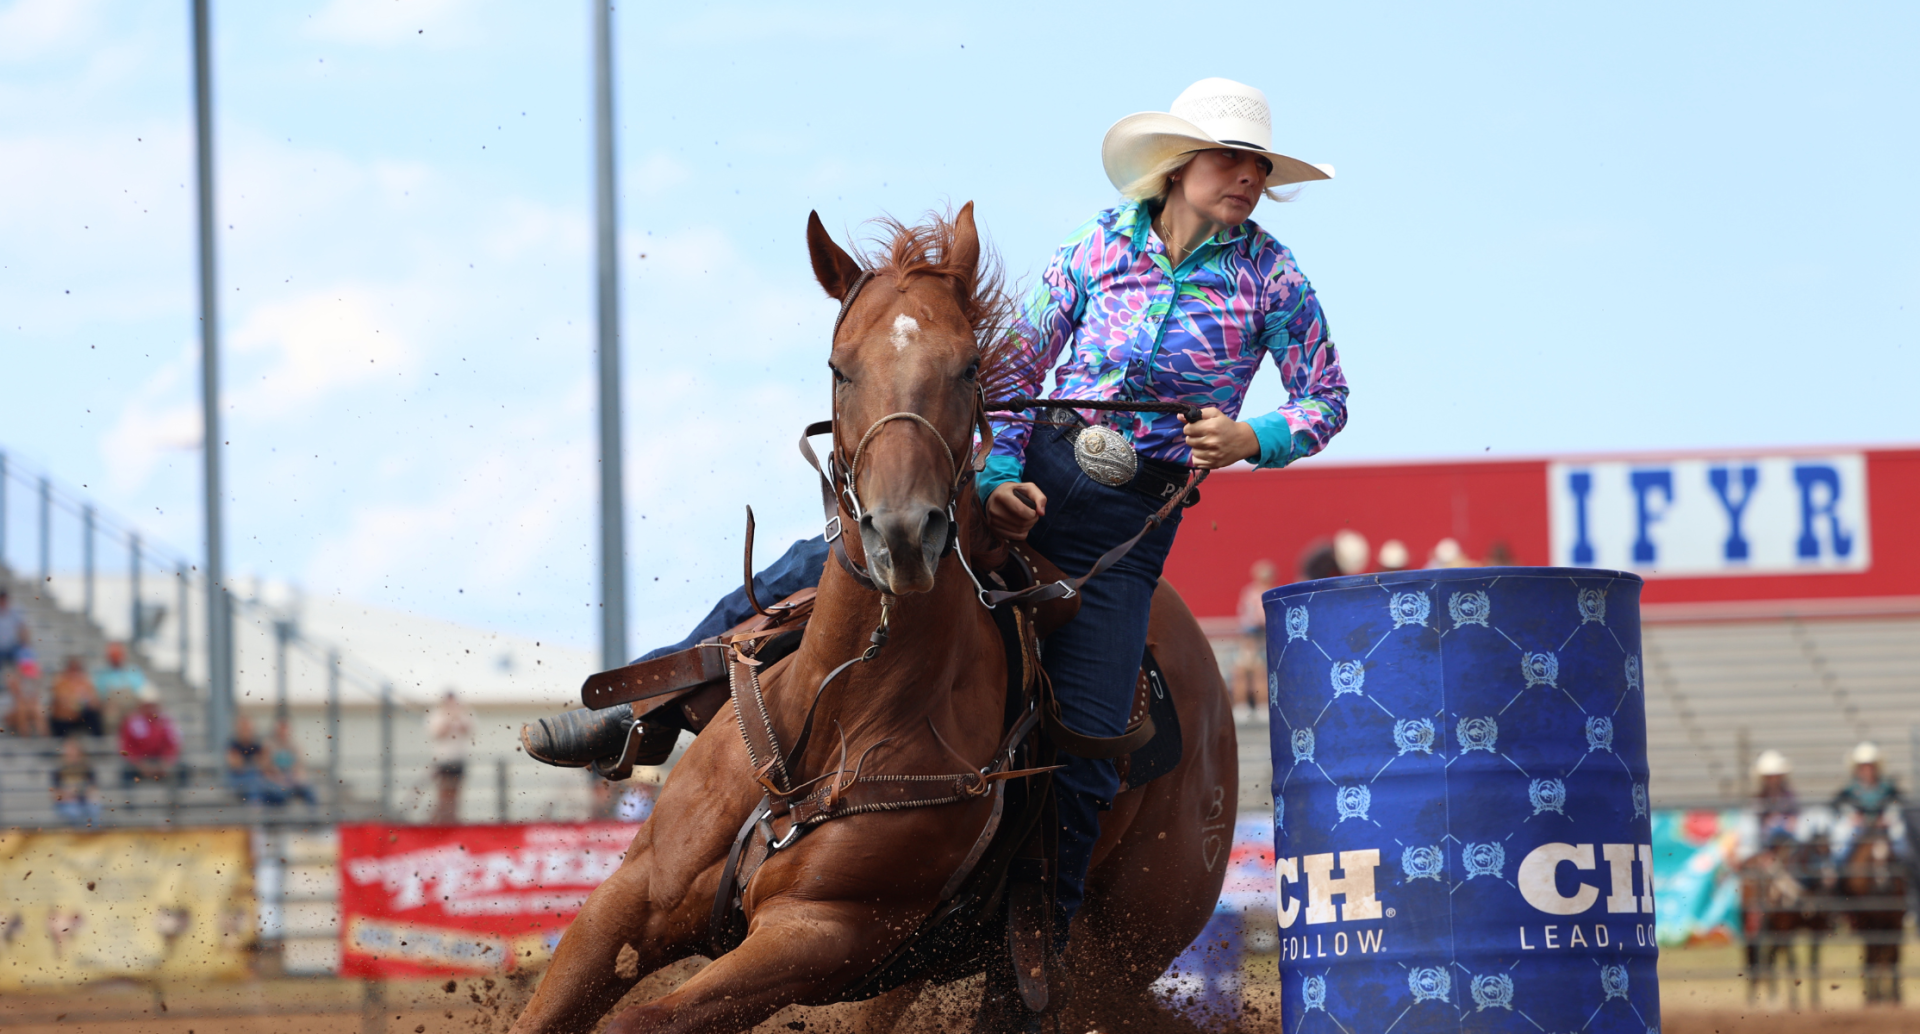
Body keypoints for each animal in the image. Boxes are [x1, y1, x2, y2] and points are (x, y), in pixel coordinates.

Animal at [503, 204, 1236, 1034]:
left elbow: (640, 1020)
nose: (904, 535)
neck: (834, 720)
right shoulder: (628, 901)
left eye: (971, 367)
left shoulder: (816, 938)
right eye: (838, 366)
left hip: (1098, 963)